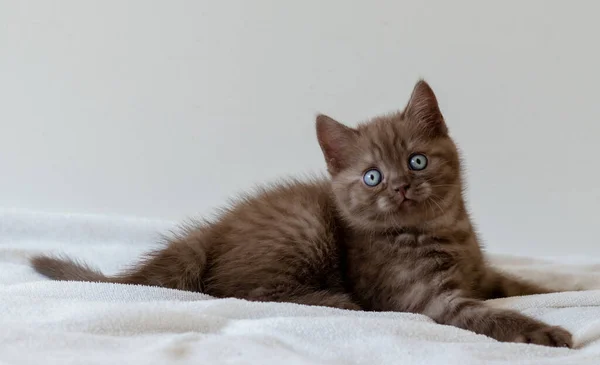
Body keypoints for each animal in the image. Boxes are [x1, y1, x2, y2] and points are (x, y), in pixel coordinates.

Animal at [29, 80, 572, 346]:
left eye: (417, 160)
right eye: (372, 176)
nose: (400, 187)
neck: (445, 231)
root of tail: (210, 231)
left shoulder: (482, 273)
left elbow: (525, 286)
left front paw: (570, 288)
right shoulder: (422, 299)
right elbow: (482, 314)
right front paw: (542, 331)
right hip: (304, 225)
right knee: (241, 290)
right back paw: (335, 300)